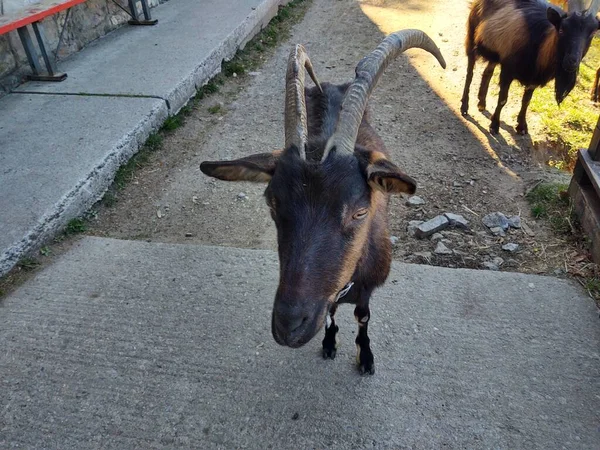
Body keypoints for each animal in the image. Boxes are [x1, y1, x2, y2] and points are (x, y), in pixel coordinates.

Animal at [200, 29, 446, 376]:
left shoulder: (368, 287)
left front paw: (365, 357)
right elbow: (330, 313)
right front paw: (329, 343)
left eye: (360, 212)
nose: (290, 326)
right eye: (272, 204)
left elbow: (362, 316)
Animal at [462, 0, 596, 134]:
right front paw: (494, 125)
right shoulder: (507, 70)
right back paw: (464, 106)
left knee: (487, 72)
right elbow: (503, 99)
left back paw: (481, 102)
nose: (572, 61)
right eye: (562, 29)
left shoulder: (533, 79)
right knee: (469, 73)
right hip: (472, 37)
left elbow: (526, 101)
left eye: (592, 34)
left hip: (495, 53)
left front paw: (521, 125)